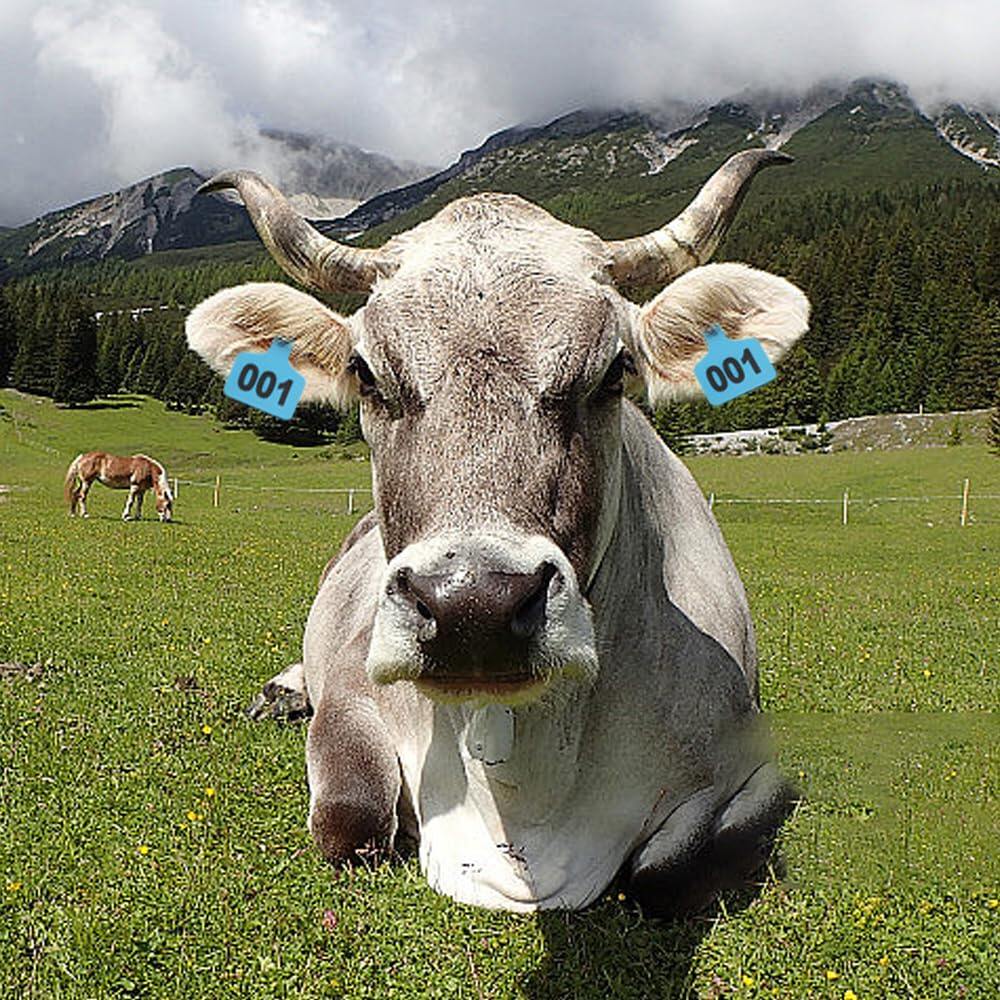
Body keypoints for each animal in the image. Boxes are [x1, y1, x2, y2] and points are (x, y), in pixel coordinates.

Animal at [185, 149, 808, 915]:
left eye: (615, 370)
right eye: (365, 372)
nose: (472, 607)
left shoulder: (753, 760)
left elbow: (669, 875)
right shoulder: (355, 682)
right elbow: (350, 821)